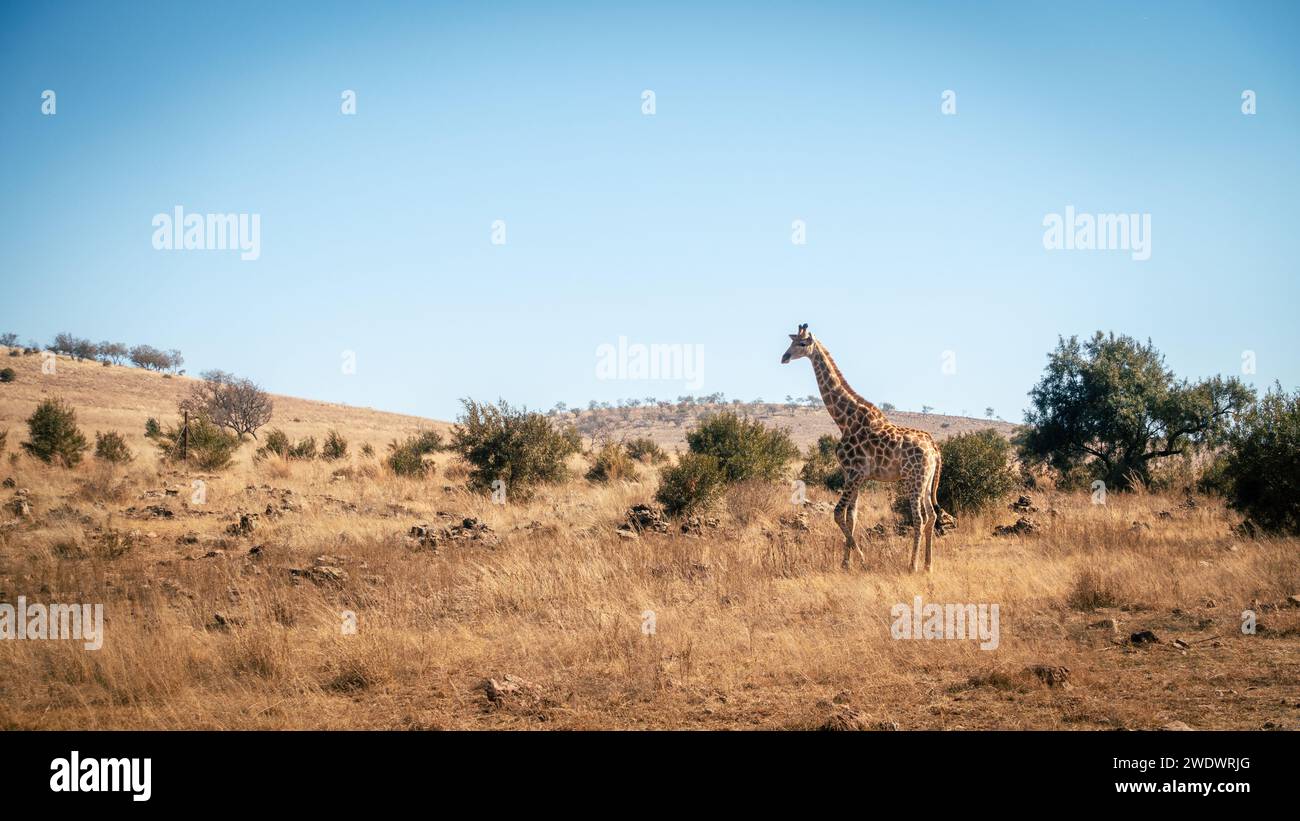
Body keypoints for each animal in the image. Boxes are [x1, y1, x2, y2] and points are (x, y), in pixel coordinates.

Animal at [780, 323, 946, 574]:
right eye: (790, 342)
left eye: (801, 343)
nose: (784, 357)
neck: (844, 420)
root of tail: (935, 448)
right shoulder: (854, 475)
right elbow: (852, 517)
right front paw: (846, 563)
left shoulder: (855, 472)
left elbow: (837, 514)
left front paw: (862, 559)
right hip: (926, 481)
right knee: (933, 515)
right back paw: (928, 565)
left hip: (913, 479)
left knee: (919, 518)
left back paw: (913, 565)